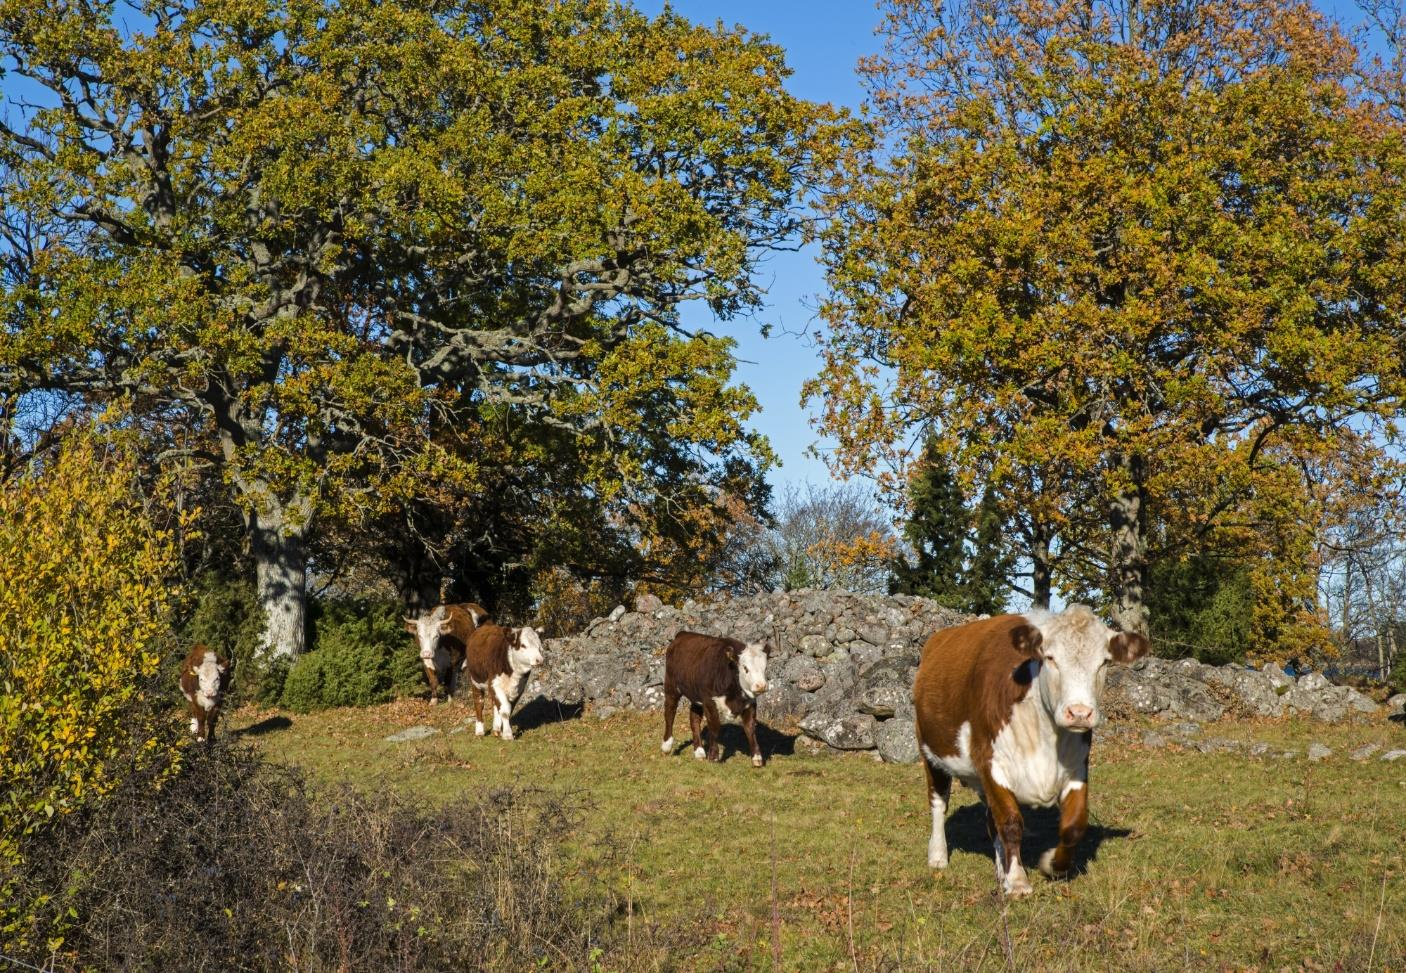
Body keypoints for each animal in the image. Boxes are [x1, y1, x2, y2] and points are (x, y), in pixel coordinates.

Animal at [663, 629, 776, 770]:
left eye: (765, 668)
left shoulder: (750, 703)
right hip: (671, 686)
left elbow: (750, 728)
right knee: (670, 713)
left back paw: (699, 752)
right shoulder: (709, 701)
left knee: (694, 719)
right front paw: (714, 756)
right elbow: (715, 727)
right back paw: (666, 746)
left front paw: (757, 758)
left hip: (695, 695)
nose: (761, 686)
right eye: (745, 668)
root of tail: (683, 634)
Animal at [911, 607, 1152, 894]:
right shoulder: (991, 762)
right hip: (929, 751)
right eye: (1050, 657)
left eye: (1104, 662)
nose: (1079, 713)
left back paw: (1000, 868)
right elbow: (1011, 822)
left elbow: (1074, 826)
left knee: (990, 820)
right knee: (938, 802)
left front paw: (1050, 865)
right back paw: (938, 856)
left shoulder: (1076, 767)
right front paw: (1017, 880)